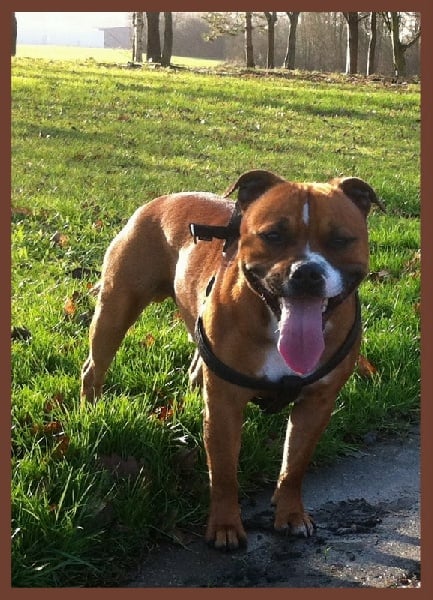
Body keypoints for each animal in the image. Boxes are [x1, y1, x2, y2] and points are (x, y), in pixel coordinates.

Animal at [81, 170, 384, 550]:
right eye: (273, 236)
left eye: (340, 240)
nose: (306, 272)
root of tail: (161, 199)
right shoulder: (225, 406)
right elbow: (224, 472)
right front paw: (225, 527)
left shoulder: (317, 404)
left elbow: (294, 464)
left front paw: (291, 514)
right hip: (116, 309)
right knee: (93, 368)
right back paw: (90, 412)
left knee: (196, 365)